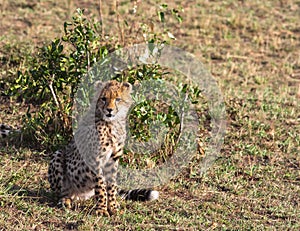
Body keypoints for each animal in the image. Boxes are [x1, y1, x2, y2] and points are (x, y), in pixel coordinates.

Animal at [48, 80, 158, 216]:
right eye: (103, 98)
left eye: (118, 99)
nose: (109, 110)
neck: (112, 124)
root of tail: (79, 195)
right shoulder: (95, 159)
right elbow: (100, 186)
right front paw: (101, 209)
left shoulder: (113, 159)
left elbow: (111, 186)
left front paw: (113, 207)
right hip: (58, 155)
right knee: (62, 191)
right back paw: (65, 200)